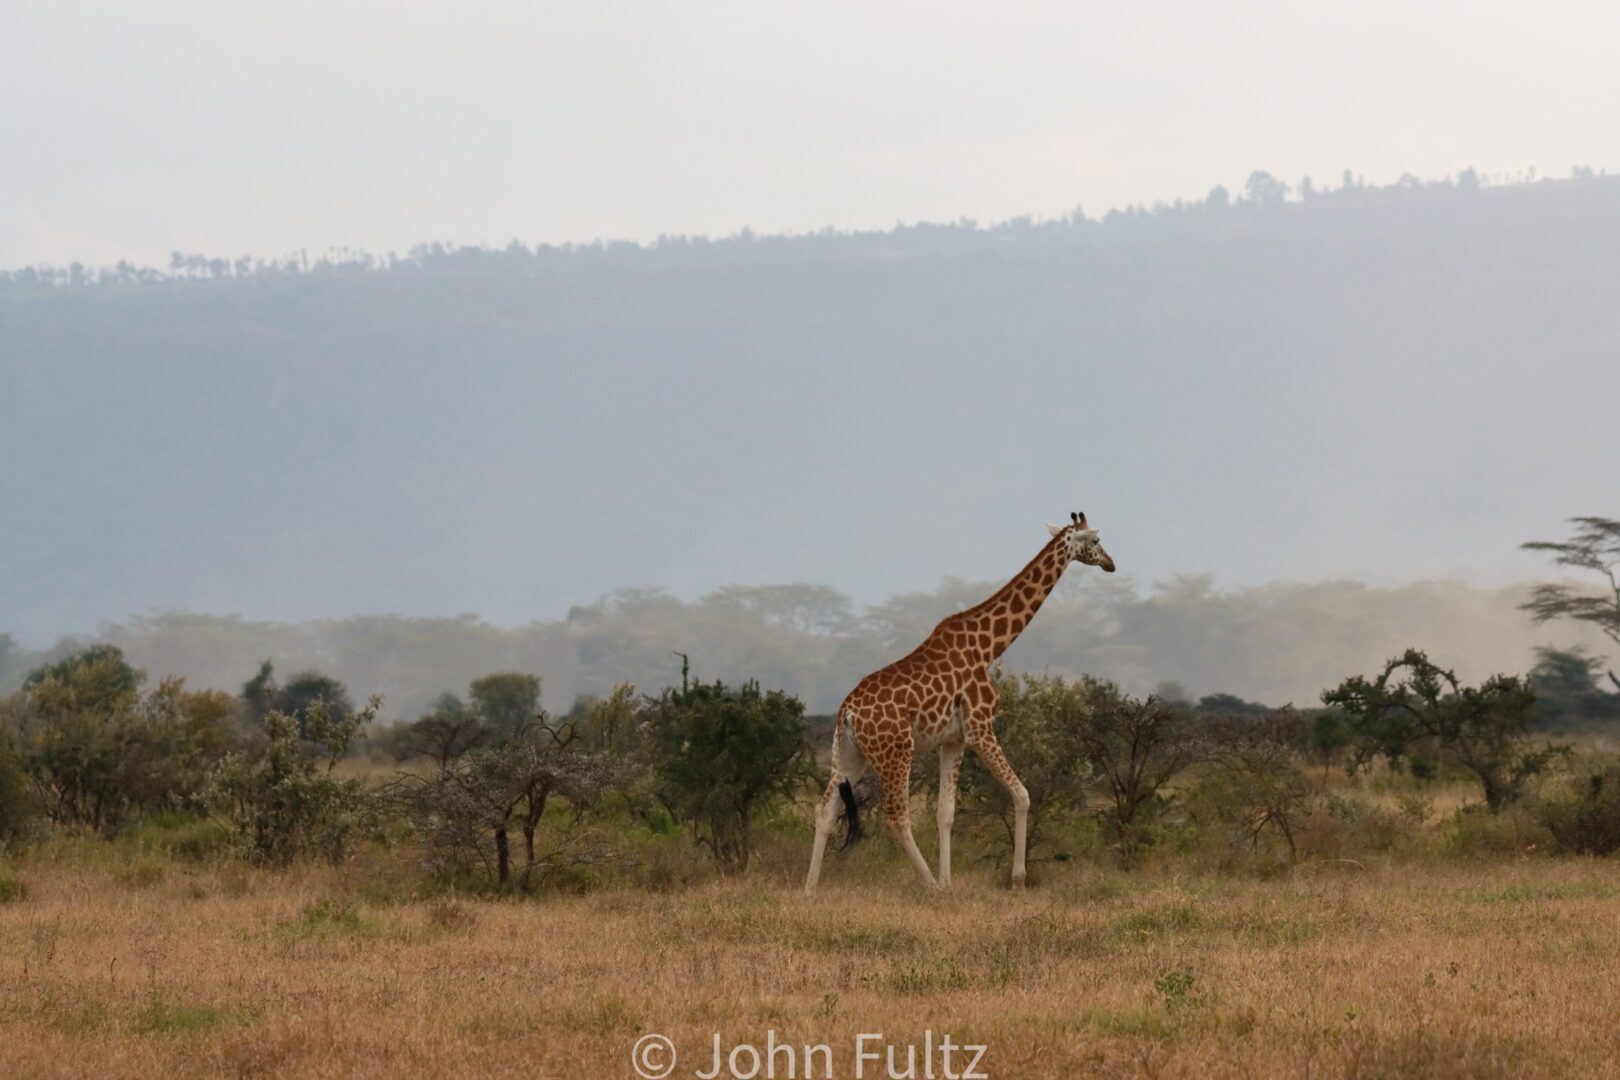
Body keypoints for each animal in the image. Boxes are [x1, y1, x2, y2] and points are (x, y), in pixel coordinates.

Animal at [806, 514, 1114, 893]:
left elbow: (946, 812)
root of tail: (847, 712)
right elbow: (1022, 795)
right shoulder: (981, 727)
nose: (1111, 564)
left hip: (849, 756)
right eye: (1097, 540)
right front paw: (1016, 879)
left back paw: (809, 890)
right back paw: (930, 888)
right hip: (896, 752)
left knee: (825, 810)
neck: (989, 647)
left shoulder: (953, 739)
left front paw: (950, 880)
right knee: (897, 816)